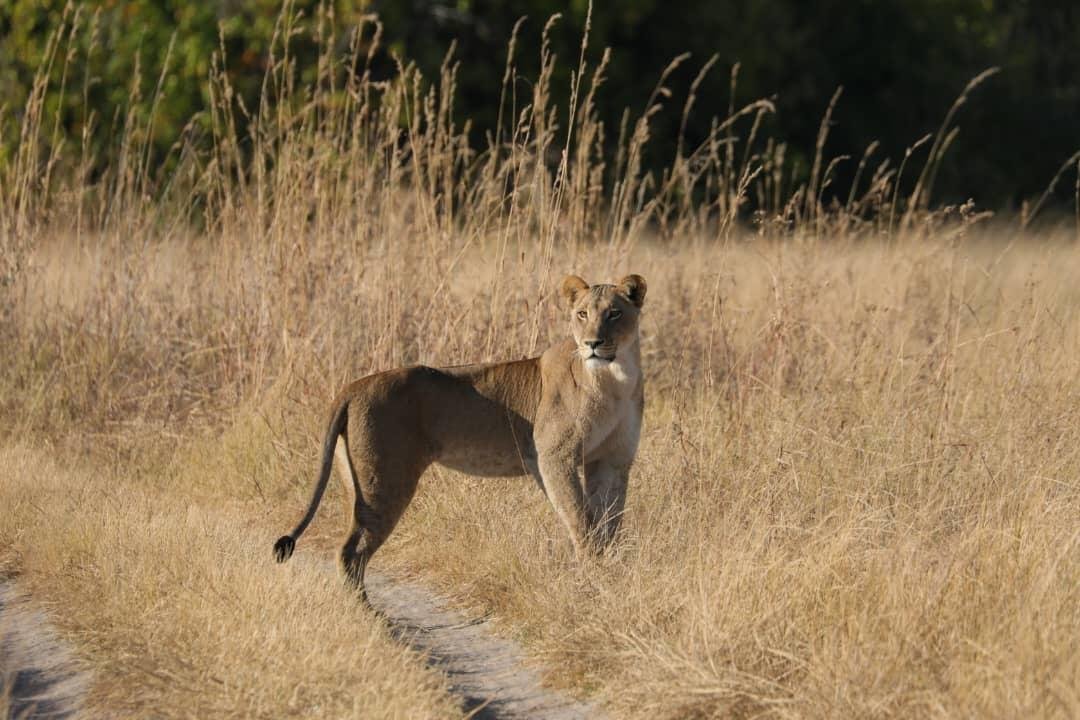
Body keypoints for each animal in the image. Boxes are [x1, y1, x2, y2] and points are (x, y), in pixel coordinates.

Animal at [273, 273, 646, 597]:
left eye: (614, 313)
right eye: (582, 314)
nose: (593, 343)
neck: (614, 379)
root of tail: (352, 386)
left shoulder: (612, 460)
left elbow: (610, 520)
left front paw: (610, 568)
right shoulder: (555, 455)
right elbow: (580, 519)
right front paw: (593, 577)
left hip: (359, 482)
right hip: (384, 481)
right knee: (351, 552)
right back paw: (372, 619)